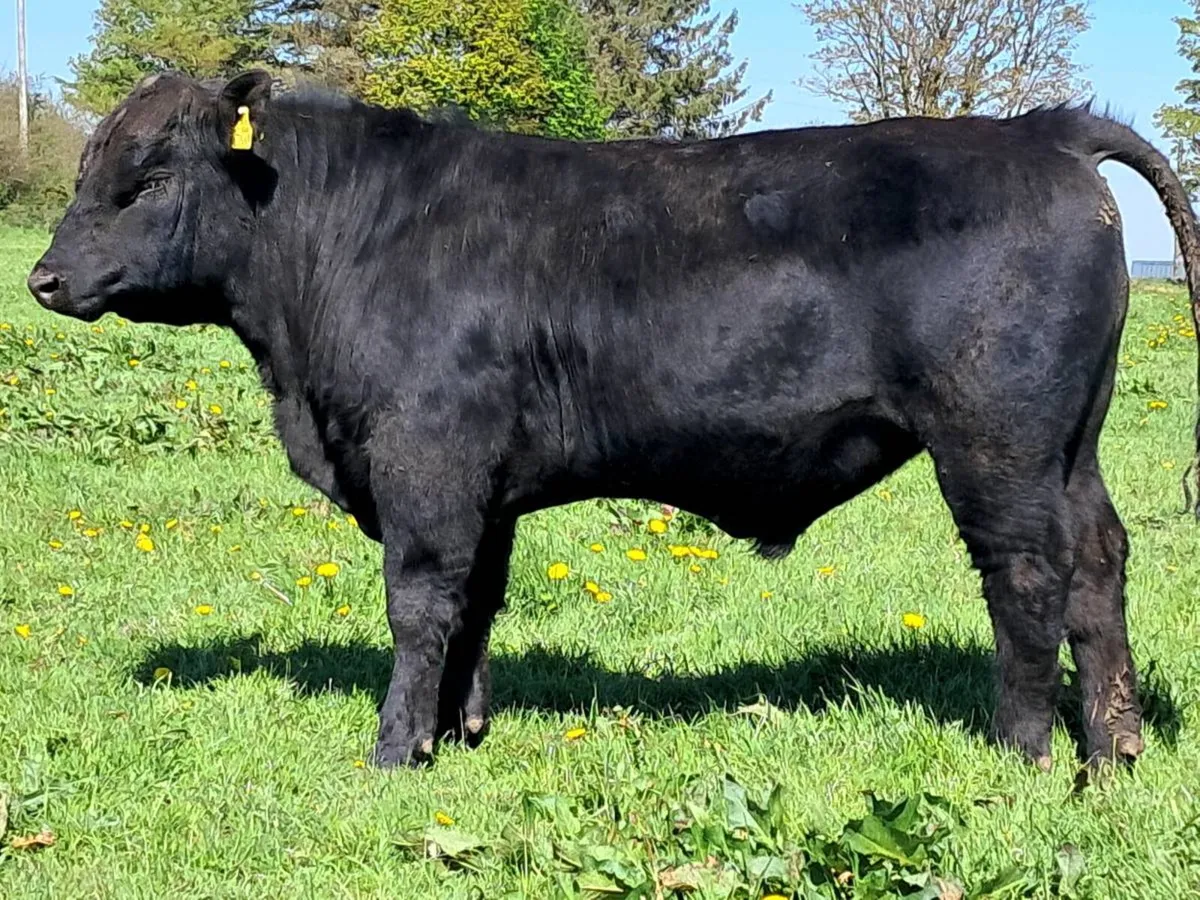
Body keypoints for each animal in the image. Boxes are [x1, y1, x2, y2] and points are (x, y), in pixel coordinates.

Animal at [28, 70, 1200, 773]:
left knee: (1029, 573)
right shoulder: (484, 484)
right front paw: (460, 730)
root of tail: (1043, 131)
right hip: (1070, 445)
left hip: (996, 443)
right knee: (1100, 560)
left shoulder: (424, 462)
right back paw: (1115, 748)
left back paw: (1025, 747)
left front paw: (396, 748)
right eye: (86, 171)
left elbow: (420, 604)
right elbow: (476, 605)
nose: (42, 277)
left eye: (147, 178)